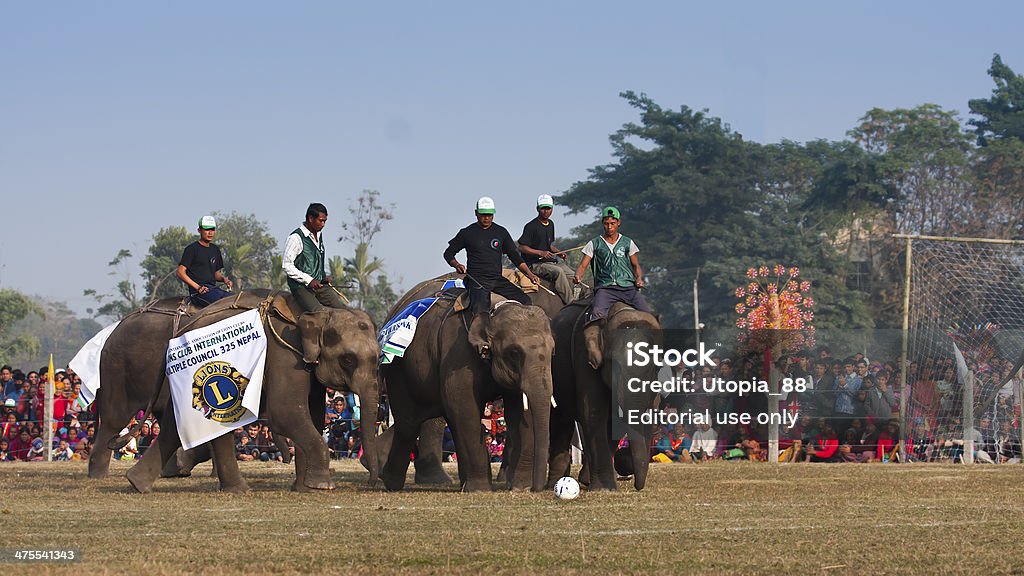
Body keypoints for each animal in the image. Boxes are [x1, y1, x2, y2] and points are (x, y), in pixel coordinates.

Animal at [98, 289, 380, 491]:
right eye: (348, 360)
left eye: (378, 358)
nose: (372, 482)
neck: (316, 312)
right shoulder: (285, 355)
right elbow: (286, 413)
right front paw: (321, 486)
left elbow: (313, 413)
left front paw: (305, 488)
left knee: (174, 425)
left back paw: (138, 483)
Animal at [378, 282, 552, 487]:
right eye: (514, 352)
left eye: (553, 351)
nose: (535, 489)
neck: (495, 309)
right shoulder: (458, 353)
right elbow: (464, 405)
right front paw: (481, 489)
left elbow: (519, 412)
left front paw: (518, 487)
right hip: (398, 367)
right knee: (409, 423)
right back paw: (390, 482)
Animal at [548, 301, 659, 487]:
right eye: (616, 365)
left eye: (656, 367)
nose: (637, 484)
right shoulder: (585, 356)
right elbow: (592, 411)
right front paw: (605, 488)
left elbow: (615, 422)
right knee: (562, 419)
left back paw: (586, 479)